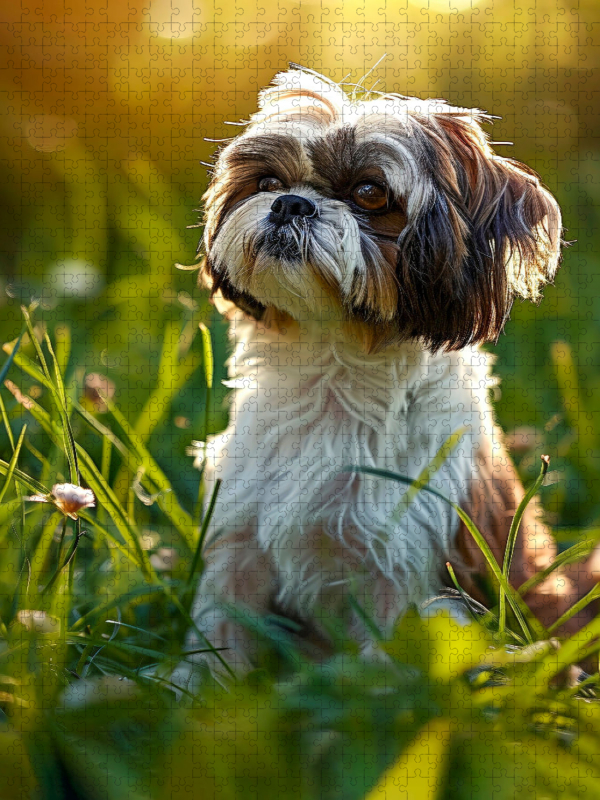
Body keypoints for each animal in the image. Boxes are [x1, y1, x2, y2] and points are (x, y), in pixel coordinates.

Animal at [182, 65, 596, 680]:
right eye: (267, 180)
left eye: (370, 193)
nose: (290, 204)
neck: (334, 367)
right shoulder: (238, 536)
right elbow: (219, 631)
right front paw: (194, 689)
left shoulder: (405, 565)